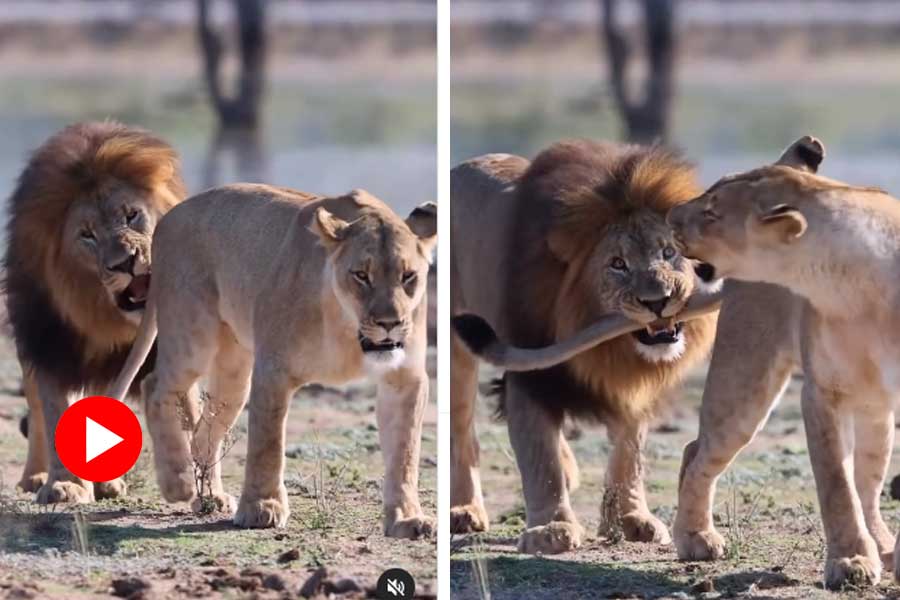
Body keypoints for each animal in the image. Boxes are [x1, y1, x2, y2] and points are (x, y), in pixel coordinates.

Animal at [5, 122, 185, 503]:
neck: (106, 319)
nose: (126, 263)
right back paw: (35, 478)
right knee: (38, 410)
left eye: (132, 215)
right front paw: (64, 485)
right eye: (87, 235)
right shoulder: (52, 346)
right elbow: (54, 410)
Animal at [107, 185, 436, 535]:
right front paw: (261, 508)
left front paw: (407, 518)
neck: (347, 328)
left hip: (234, 372)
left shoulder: (405, 379)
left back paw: (209, 497)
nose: (390, 323)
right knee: (154, 385)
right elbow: (268, 442)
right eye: (361, 275)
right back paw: (177, 483)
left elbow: (405, 452)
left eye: (408, 276)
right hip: (192, 338)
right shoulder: (274, 369)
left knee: (204, 431)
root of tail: (169, 216)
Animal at [450, 140, 719, 553]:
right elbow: (540, 459)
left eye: (668, 253)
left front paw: (631, 519)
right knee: (461, 430)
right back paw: (465, 509)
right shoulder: (532, 376)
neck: (613, 347)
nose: (659, 301)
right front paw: (551, 529)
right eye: (618, 264)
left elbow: (629, 453)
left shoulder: (634, 385)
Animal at [667, 136, 900, 590]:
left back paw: (884, 546)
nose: (670, 216)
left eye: (713, 212)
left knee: (868, 485)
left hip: (876, 410)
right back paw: (695, 537)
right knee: (696, 450)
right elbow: (835, 484)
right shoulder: (822, 391)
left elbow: (849, 485)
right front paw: (850, 561)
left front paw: (865, 557)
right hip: (745, 381)